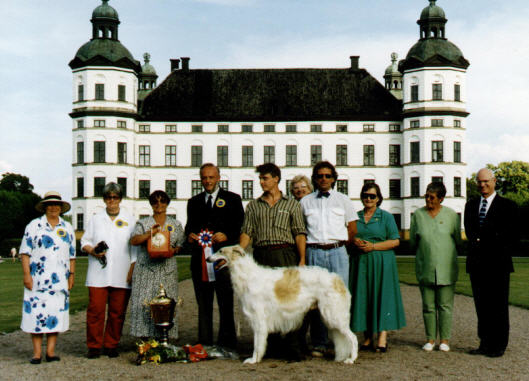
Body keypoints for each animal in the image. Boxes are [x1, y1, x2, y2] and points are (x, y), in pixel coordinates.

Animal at [207, 245, 358, 364]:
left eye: (220, 251)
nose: (208, 258)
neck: (248, 276)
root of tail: (337, 279)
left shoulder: (258, 318)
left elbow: (257, 344)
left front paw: (253, 360)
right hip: (330, 316)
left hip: (334, 315)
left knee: (353, 337)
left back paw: (351, 359)